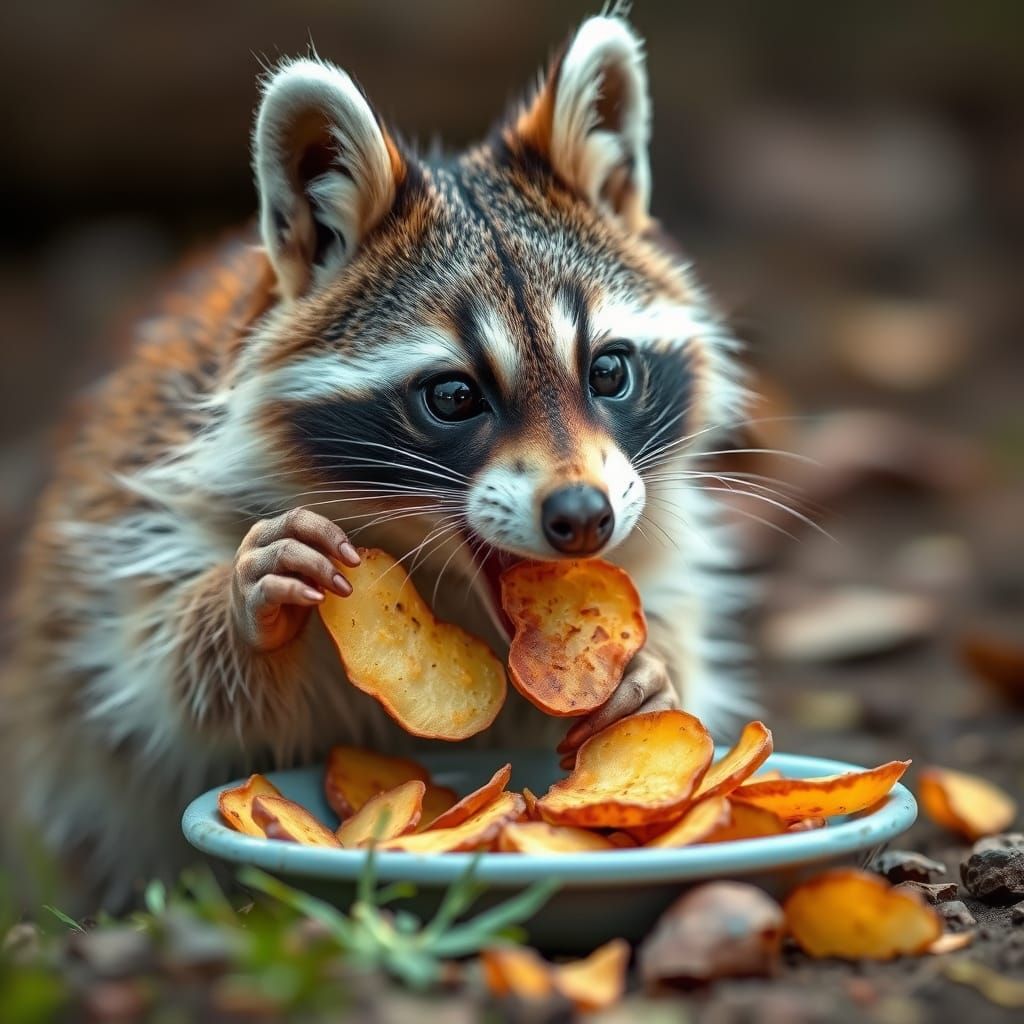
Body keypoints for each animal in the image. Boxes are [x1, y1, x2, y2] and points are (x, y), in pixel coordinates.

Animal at [1, 12, 753, 910]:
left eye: (608, 371)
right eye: (455, 397)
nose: (582, 519)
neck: (447, 591)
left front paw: (649, 679)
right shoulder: (144, 524)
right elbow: (165, 684)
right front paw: (242, 611)